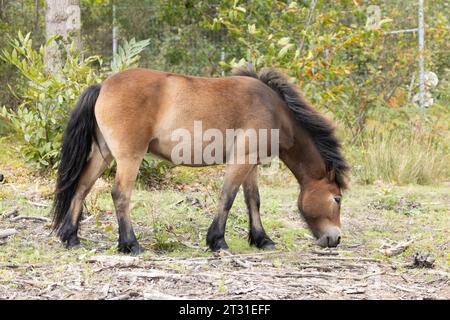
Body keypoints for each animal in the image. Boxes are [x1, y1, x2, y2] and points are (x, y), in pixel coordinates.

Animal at [51, 67, 348, 252]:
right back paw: (131, 244)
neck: (273, 110)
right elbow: (227, 198)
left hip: (104, 154)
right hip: (128, 157)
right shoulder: (241, 161)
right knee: (120, 194)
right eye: (336, 199)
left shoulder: (251, 164)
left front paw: (262, 239)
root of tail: (102, 86)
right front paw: (217, 241)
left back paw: (71, 237)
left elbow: (253, 200)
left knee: (82, 187)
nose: (335, 238)